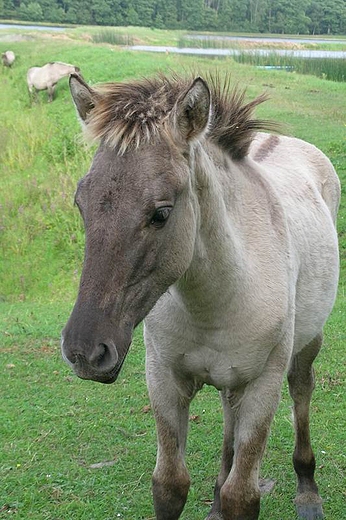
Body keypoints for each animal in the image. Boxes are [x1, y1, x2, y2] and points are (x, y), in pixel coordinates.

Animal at [60, 70, 340, 520]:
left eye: (161, 213)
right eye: (81, 203)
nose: (85, 351)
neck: (214, 300)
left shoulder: (263, 386)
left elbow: (243, 495)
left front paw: (239, 497)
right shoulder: (164, 378)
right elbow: (170, 485)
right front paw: (212, 494)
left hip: (306, 344)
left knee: (302, 390)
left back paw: (307, 490)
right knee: (228, 410)